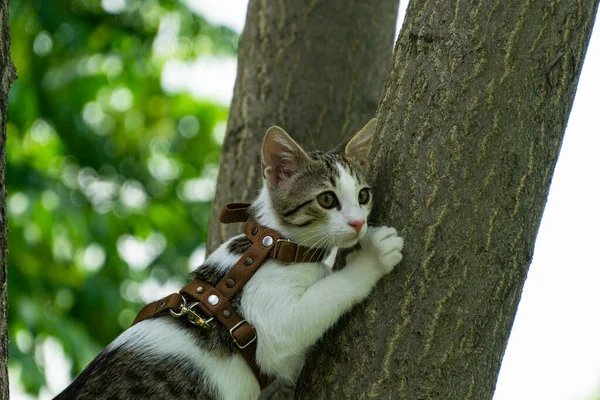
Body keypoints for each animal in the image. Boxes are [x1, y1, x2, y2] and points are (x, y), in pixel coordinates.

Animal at [55, 119, 404, 400]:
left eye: (363, 196)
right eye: (327, 199)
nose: (358, 223)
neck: (272, 245)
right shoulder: (273, 328)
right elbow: (329, 294)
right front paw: (372, 256)